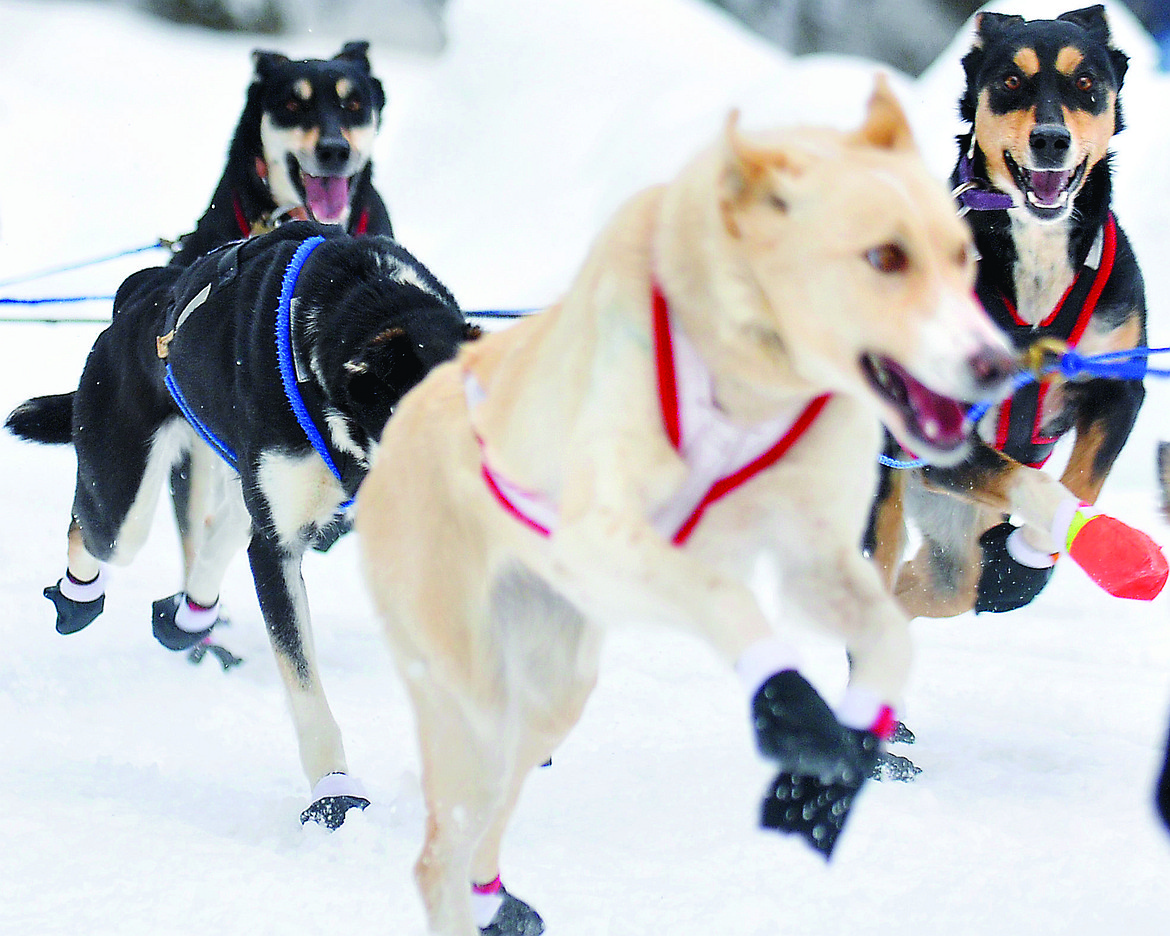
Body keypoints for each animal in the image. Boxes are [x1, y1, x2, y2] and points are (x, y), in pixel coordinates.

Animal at [8, 221, 475, 828]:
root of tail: (137, 297)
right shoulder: (279, 547)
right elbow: (304, 685)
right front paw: (334, 790)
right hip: (125, 499)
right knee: (95, 531)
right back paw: (78, 598)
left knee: (224, 530)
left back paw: (188, 615)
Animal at [353, 80, 1015, 935]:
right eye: (886, 257)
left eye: (963, 257)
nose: (999, 364)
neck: (752, 379)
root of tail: (399, 427)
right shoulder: (606, 539)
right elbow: (727, 596)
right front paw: (790, 707)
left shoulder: (815, 562)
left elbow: (889, 641)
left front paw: (833, 770)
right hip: (472, 697)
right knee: (440, 851)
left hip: (552, 691)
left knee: (498, 804)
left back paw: (493, 897)